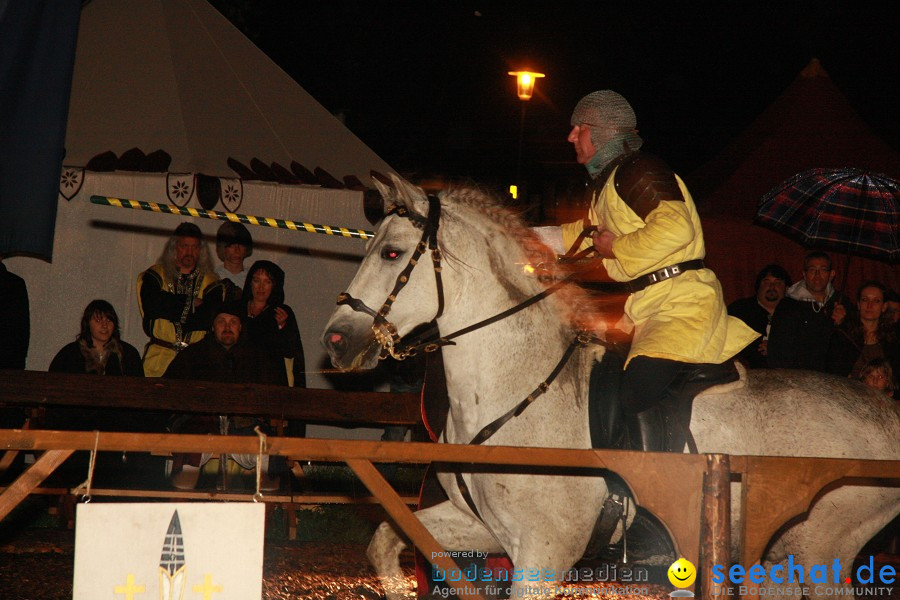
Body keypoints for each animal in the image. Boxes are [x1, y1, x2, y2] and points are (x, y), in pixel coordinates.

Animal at [320, 176, 896, 600]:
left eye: (392, 254)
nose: (335, 340)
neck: (514, 388)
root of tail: (886, 414)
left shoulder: (543, 554)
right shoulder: (481, 527)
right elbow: (384, 541)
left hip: (821, 551)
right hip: (778, 553)